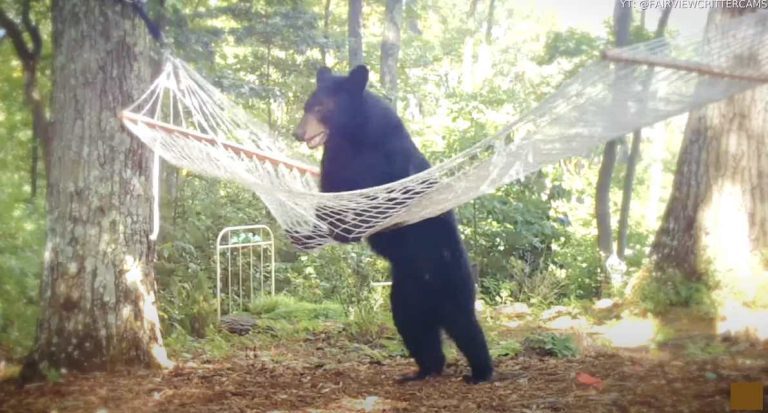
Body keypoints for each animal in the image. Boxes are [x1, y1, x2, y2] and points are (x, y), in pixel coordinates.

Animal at [291, 65, 493, 383]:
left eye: (322, 107)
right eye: (306, 107)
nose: (298, 133)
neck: (352, 136)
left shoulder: (387, 158)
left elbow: (379, 189)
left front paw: (346, 229)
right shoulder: (335, 160)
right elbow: (330, 196)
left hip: (452, 281)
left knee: (464, 325)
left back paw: (480, 372)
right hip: (404, 296)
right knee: (415, 330)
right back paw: (423, 370)